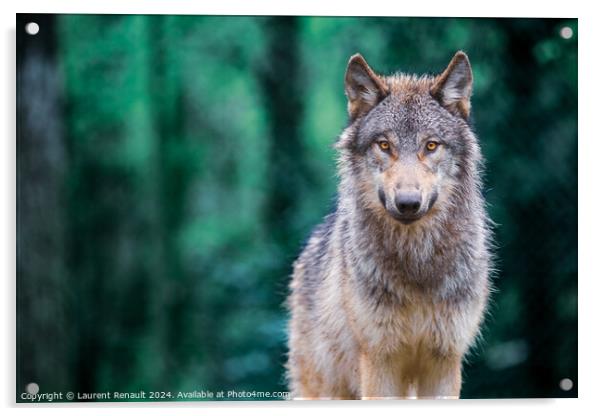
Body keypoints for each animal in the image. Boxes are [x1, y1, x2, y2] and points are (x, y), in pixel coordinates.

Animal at [286, 52, 492, 400]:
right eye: (384, 145)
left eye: (431, 146)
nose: (408, 202)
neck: (416, 264)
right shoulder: (380, 359)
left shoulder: (444, 361)